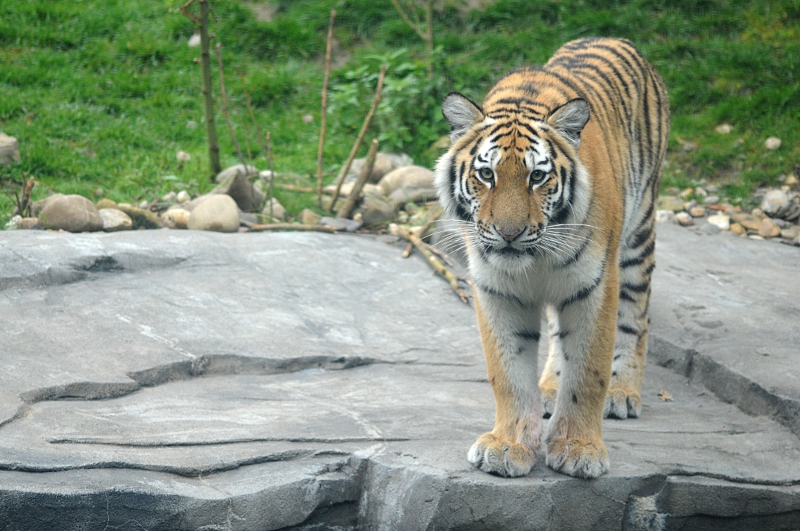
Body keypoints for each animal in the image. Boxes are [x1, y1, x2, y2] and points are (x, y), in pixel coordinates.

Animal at [434, 37, 669, 479]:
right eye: (486, 175)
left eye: (537, 177)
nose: (509, 233)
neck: (534, 260)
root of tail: (617, 38)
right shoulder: (497, 291)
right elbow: (508, 374)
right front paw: (507, 445)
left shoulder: (596, 285)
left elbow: (588, 373)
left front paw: (579, 449)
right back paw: (548, 388)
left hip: (638, 235)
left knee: (636, 316)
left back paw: (622, 392)